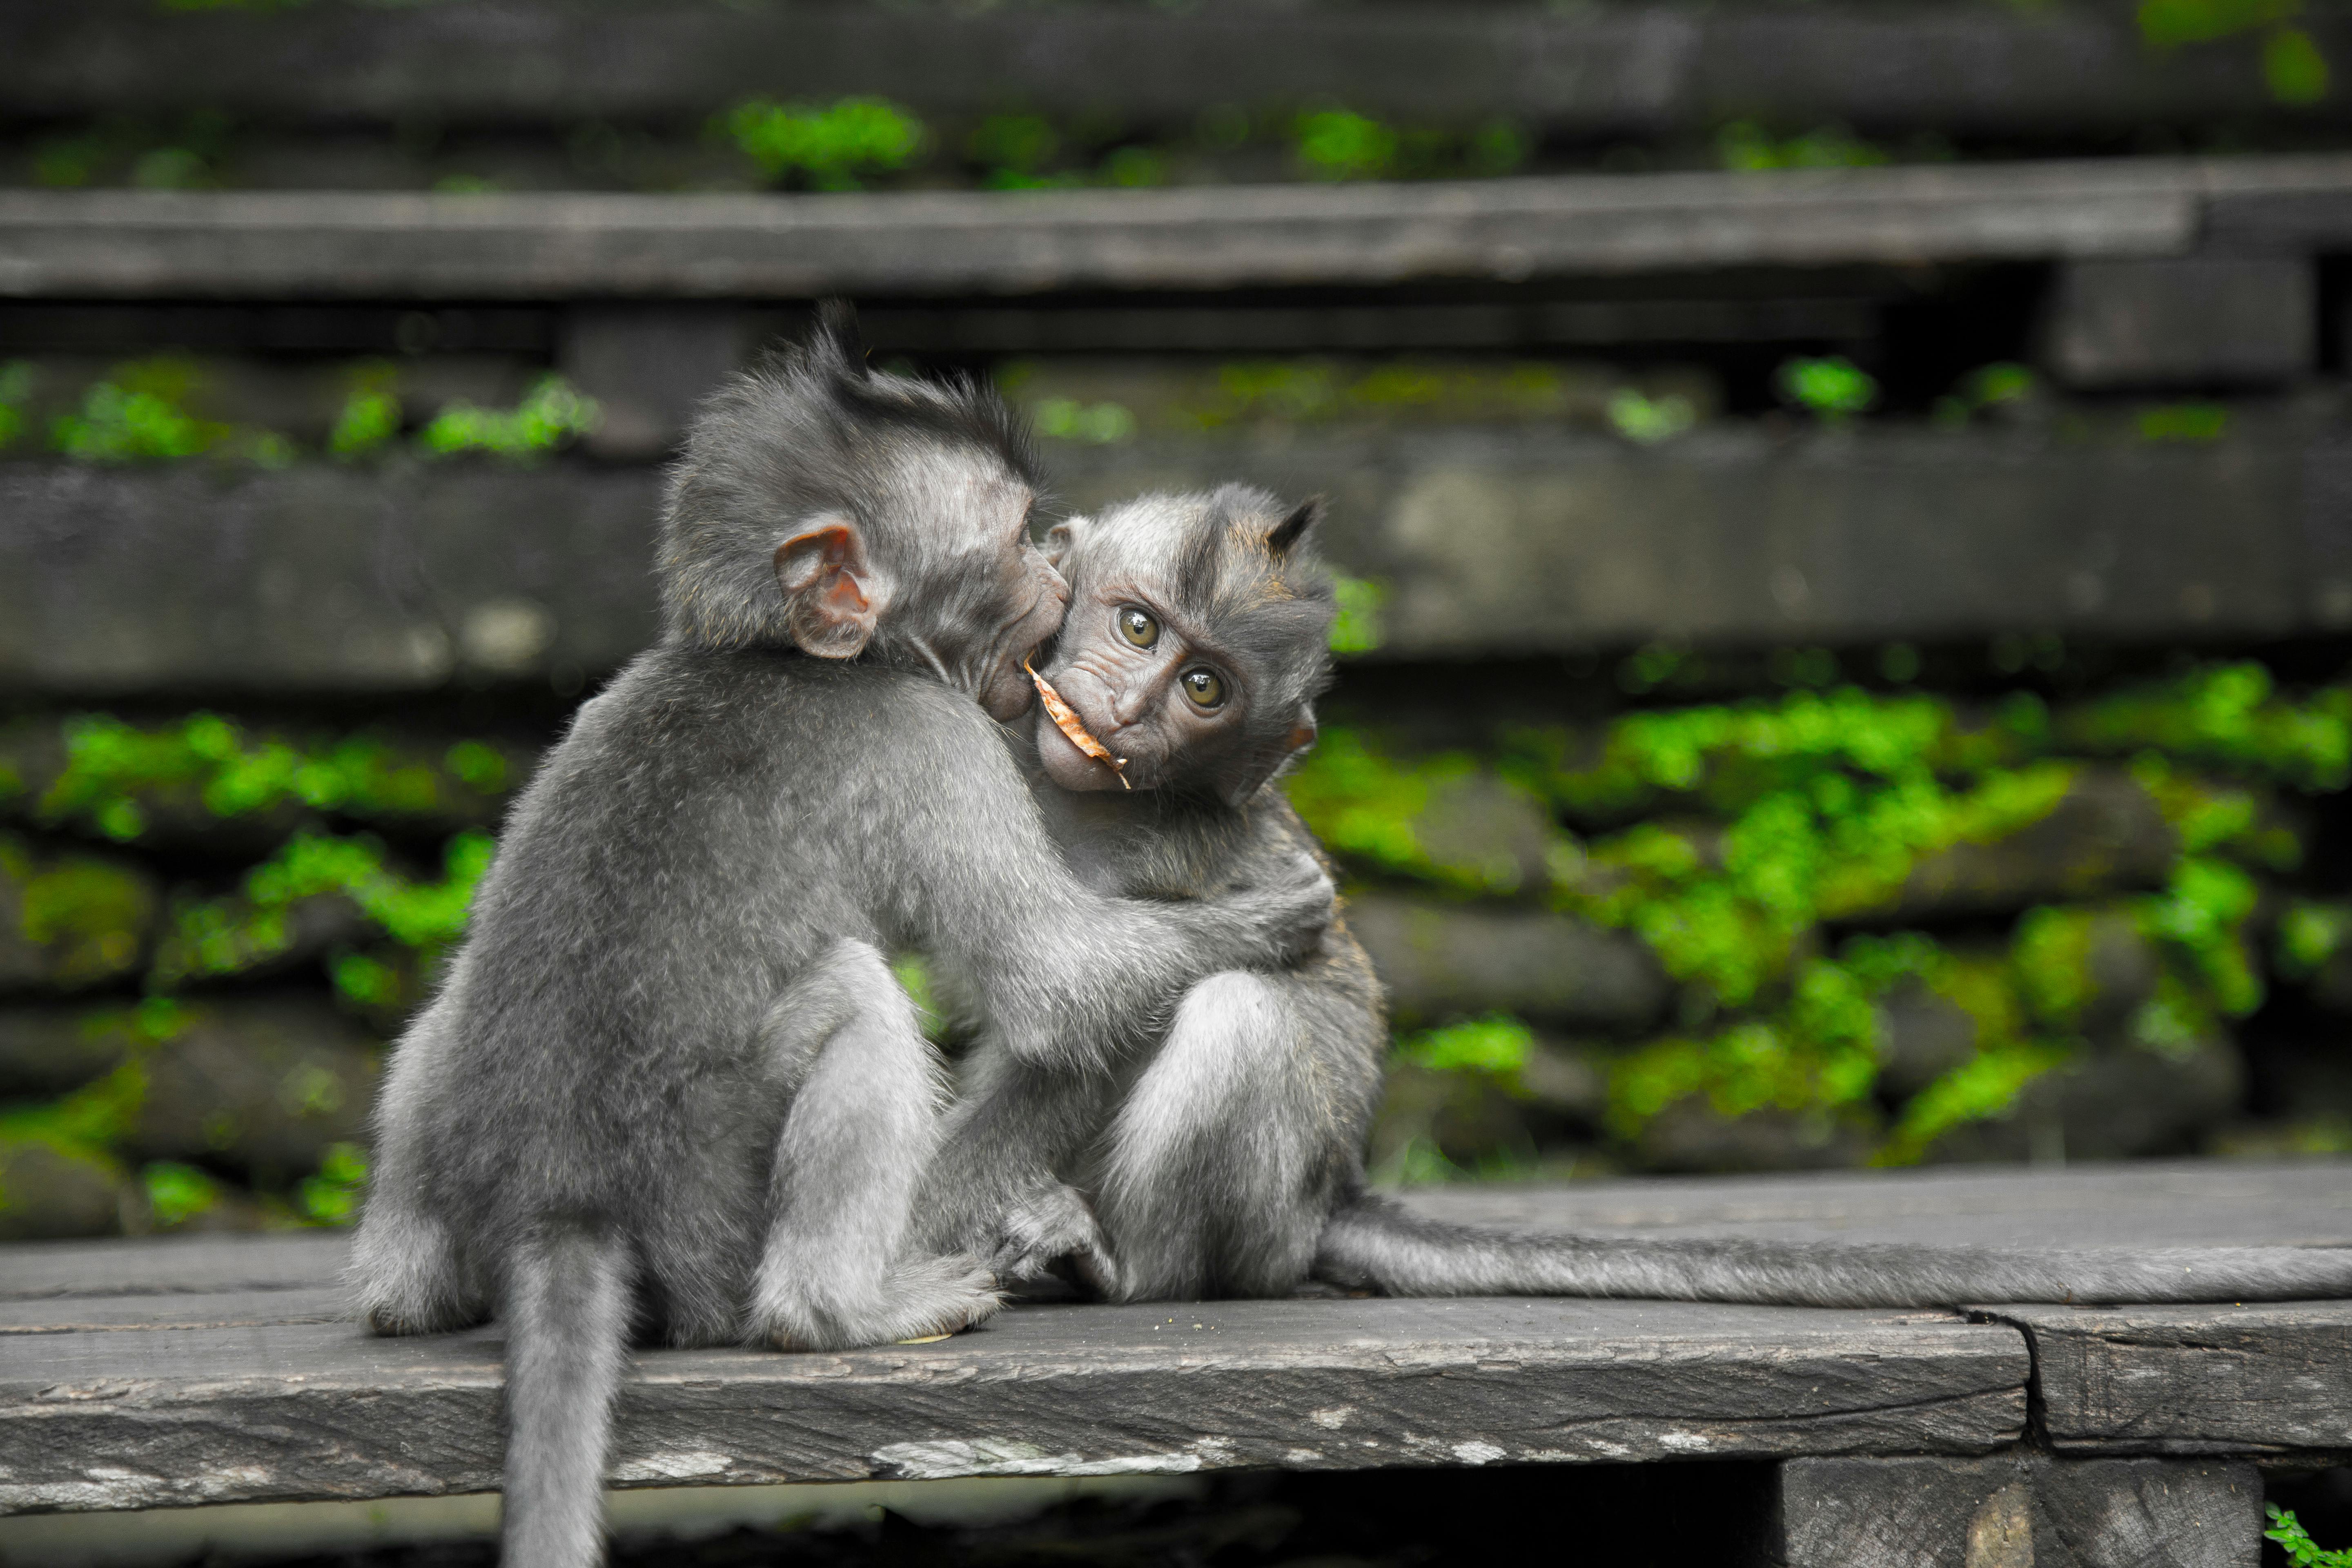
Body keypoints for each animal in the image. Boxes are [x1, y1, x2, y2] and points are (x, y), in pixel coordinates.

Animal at [350, 322, 1345, 1568]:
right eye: (1014, 542)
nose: (1057, 566)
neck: (783, 654)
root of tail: (559, 1203)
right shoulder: (934, 738)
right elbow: (1056, 985)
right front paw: (1273, 912)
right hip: (710, 1212)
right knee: (856, 1004)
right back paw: (842, 1307)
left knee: (448, 1009)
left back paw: (407, 1291)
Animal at [912, 486, 2352, 1316]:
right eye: (1138, 628)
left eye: (1206, 690)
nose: (1129, 711)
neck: (1094, 803)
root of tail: (1336, 1191)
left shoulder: (1185, 847)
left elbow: (1092, 1025)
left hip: (1268, 1209)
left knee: (1239, 1018)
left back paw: (1128, 1268)